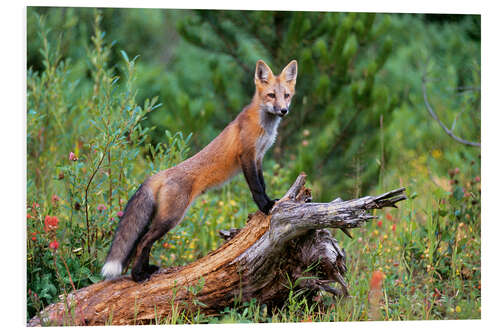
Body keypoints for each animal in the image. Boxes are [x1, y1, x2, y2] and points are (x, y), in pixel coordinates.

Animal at [101, 59, 296, 280]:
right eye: (271, 95)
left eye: (286, 95)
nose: (283, 110)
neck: (263, 125)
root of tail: (161, 173)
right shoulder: (247, 156)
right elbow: (256, 188)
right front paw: (265, 206)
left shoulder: (259, 157)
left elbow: (262, 184)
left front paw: (272, 201)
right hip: (171, 218)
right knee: (143, 242)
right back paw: (137, 276)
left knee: (142, 242)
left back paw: (145, 270)